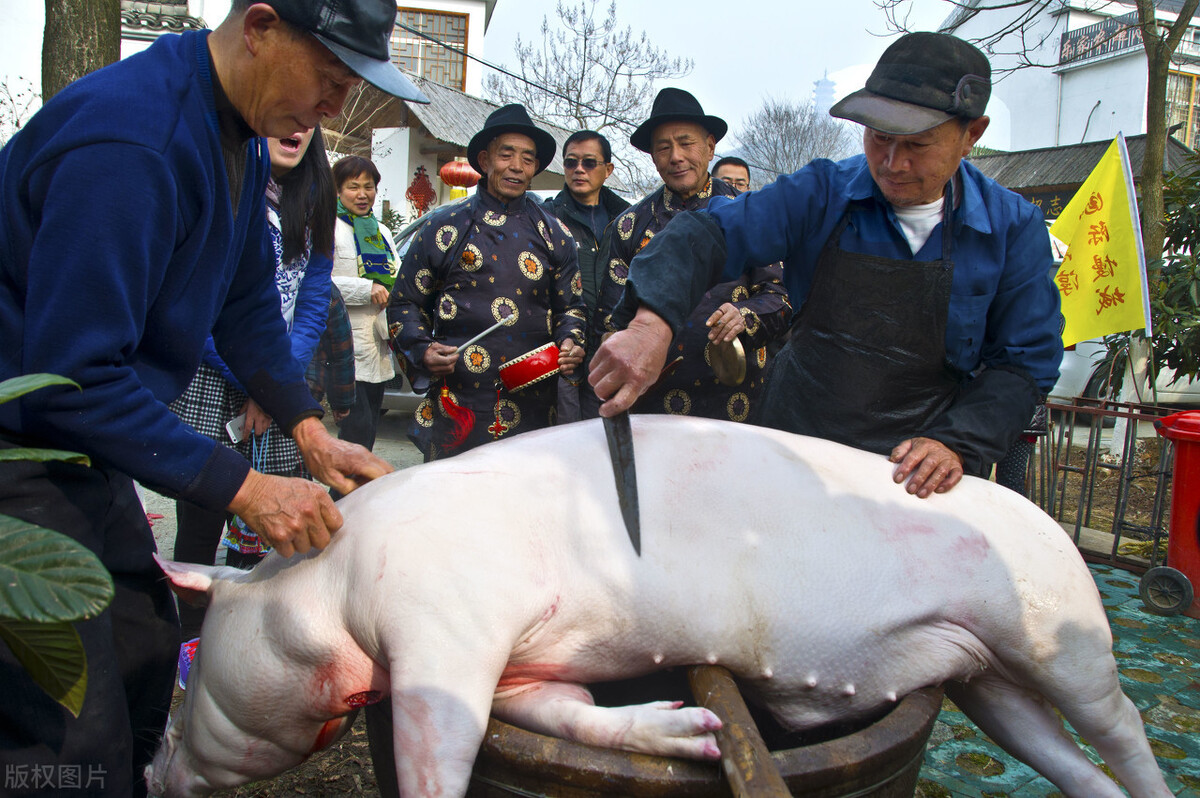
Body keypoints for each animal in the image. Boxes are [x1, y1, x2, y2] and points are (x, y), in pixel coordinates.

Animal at [147, 417, 1171, 796]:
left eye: (188, 694)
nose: (156, 772)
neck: (327, 591)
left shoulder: (446, 631)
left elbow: (439, 746)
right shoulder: (523, 664)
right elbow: (562, 713)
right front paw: (692, 734)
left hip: (1062, 634)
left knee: (1118, 729)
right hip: (984, 677)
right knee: (1060, 758)